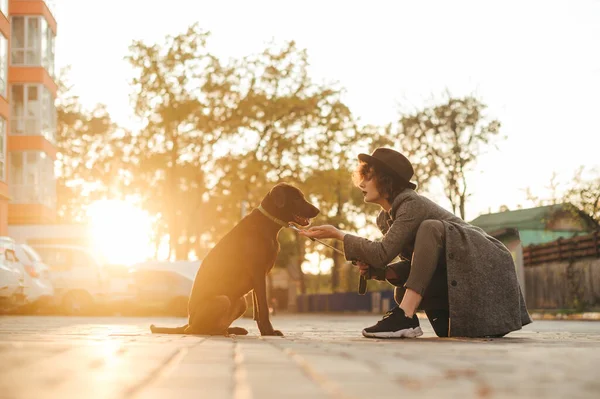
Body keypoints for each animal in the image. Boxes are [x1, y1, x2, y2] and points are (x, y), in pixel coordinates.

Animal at [150, 184, 318, 338]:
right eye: (296, 198)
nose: (318, 210)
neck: (268, 224)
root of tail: (188, 322)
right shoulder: (258, 274)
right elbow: (263, 308)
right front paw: (269, 332)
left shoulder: (259, 278)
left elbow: (258, 310)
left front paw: (264, 332)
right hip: (222, 300)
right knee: (194, 330)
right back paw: (221, 332)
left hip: (241, 301)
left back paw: (232, 330)